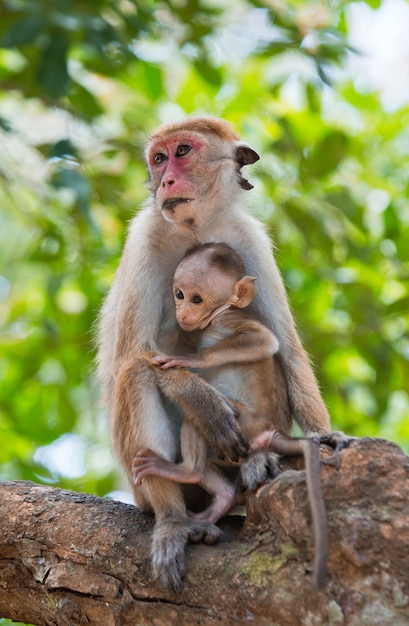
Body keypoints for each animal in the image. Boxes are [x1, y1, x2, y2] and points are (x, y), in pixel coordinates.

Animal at [134, 243, 328, 584]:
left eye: (197, 299)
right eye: (179, 294)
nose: (182, 312)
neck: (218, 315)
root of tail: (274, 433)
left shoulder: (228, 322)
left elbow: (264, 340)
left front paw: (190, 360)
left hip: (244, 427)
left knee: (202, 422)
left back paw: (185, 470)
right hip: (234, 451)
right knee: (214, 467)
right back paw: (218, 500)